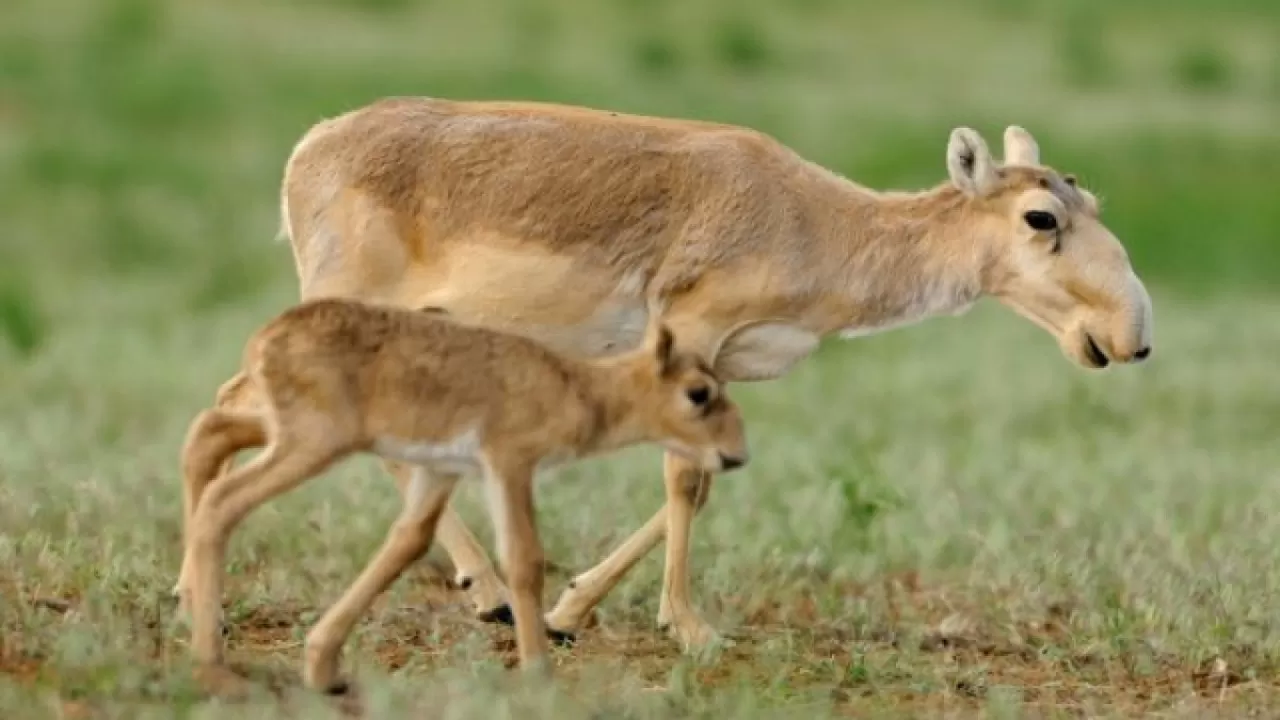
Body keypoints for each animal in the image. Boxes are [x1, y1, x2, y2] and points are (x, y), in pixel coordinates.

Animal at [175, 96, 1157, 655]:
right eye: (1041, 217)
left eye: (1089, 198)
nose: (1133, 334)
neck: (815, 220)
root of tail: (310, 147)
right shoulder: (691, 331)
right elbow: (684, 479)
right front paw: (690, 629)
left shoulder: (720, 366)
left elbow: (703, 480)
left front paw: (569, 612)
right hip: (346, 308)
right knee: (238, 409)